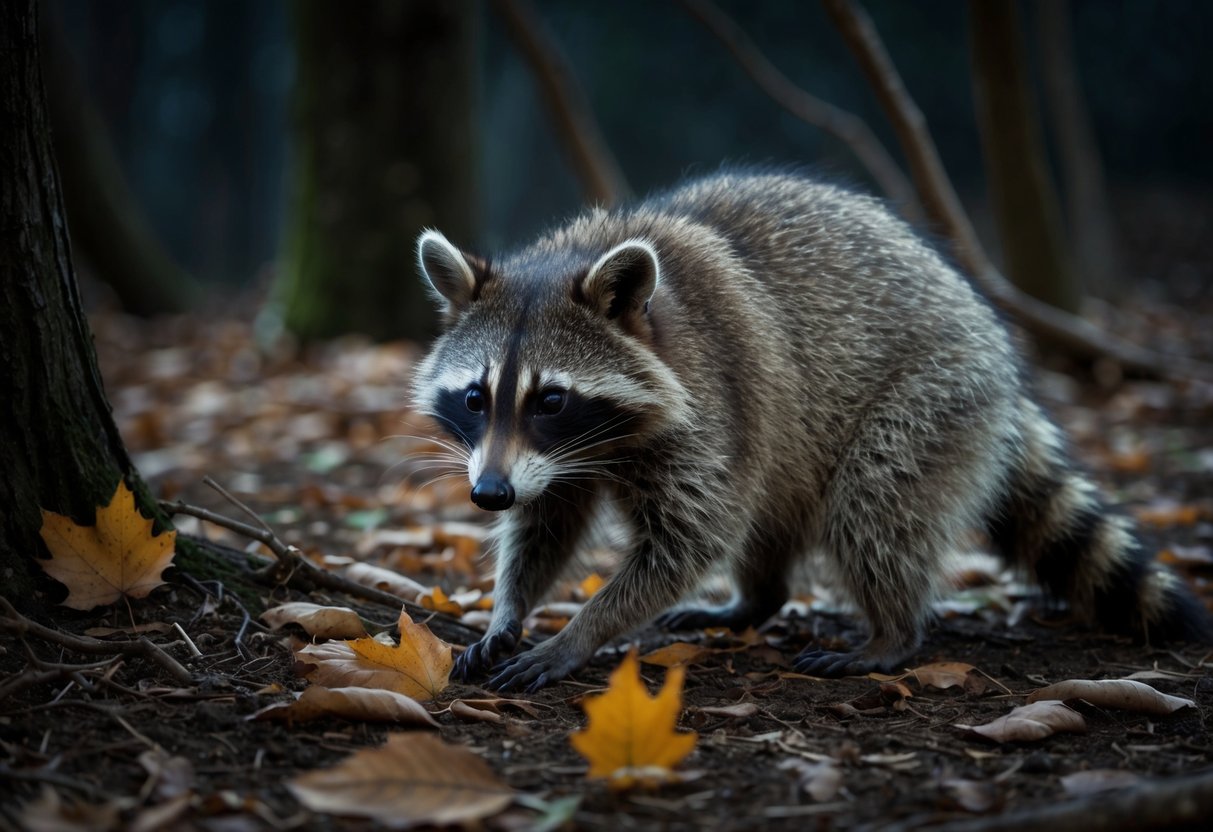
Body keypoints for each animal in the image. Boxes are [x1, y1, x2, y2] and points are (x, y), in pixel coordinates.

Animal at [411, 170, 1211, 691]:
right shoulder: (545, 462)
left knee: (875, 506)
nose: (487, 494)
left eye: (550, 399)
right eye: (476, 397)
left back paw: (891, 631)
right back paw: (756, 600)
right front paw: (508, 611)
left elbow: (690, 538)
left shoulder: (713, 400)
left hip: (931, 396)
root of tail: (993, 343)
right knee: (773, 517)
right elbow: (545, 523)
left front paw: (583, 630)